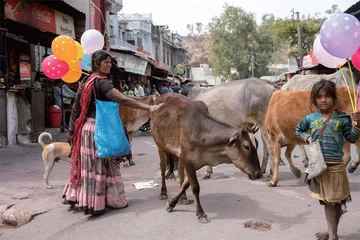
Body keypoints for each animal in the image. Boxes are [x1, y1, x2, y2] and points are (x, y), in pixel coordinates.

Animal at [149, 93, 262, 223]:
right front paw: (201, 213)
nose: (259, 174)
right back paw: (163, 192)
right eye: (246, 146)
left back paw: (183, 198)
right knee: (163, 168)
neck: (201, 131)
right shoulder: (187, 159)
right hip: (160, 146)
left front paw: (172, 203)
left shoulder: (195, 162)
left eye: (257, 143)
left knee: (180, 172)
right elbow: (195, 186)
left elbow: (186, 184)